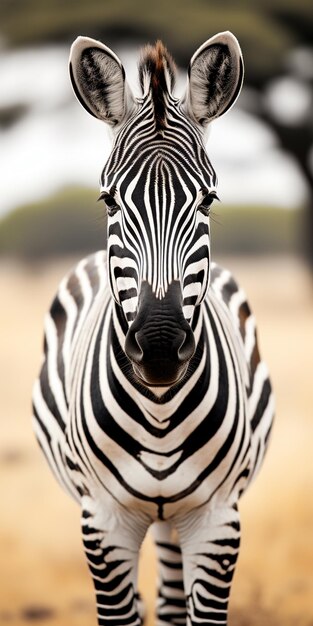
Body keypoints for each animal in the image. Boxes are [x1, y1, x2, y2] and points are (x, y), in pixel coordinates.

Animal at [32, 33, 272, 624]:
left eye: (208, 199)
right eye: (108, 199)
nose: (160, 350)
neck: (159, 410)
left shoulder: (218, 519)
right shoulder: (102, 521)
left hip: (173, 517)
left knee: (167, 600)